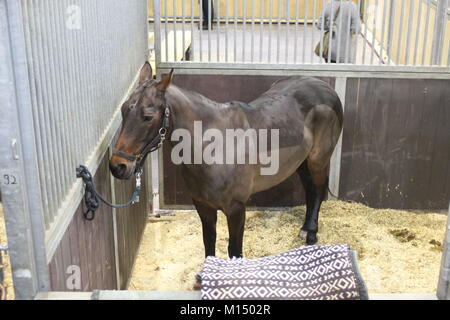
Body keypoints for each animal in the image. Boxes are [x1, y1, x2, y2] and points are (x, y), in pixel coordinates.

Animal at [110, 63, 342, 260]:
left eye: (148, 116)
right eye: (123, 109)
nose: (118, 166)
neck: (214, 147)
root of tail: (326, 89)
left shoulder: (236, 209)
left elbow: (234, 250)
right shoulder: (203, 206)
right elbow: (209, 243)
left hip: (317, 161)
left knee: (318, 190)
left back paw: (311, 235)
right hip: (301, 162)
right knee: (310, 190)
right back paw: (305, 229)